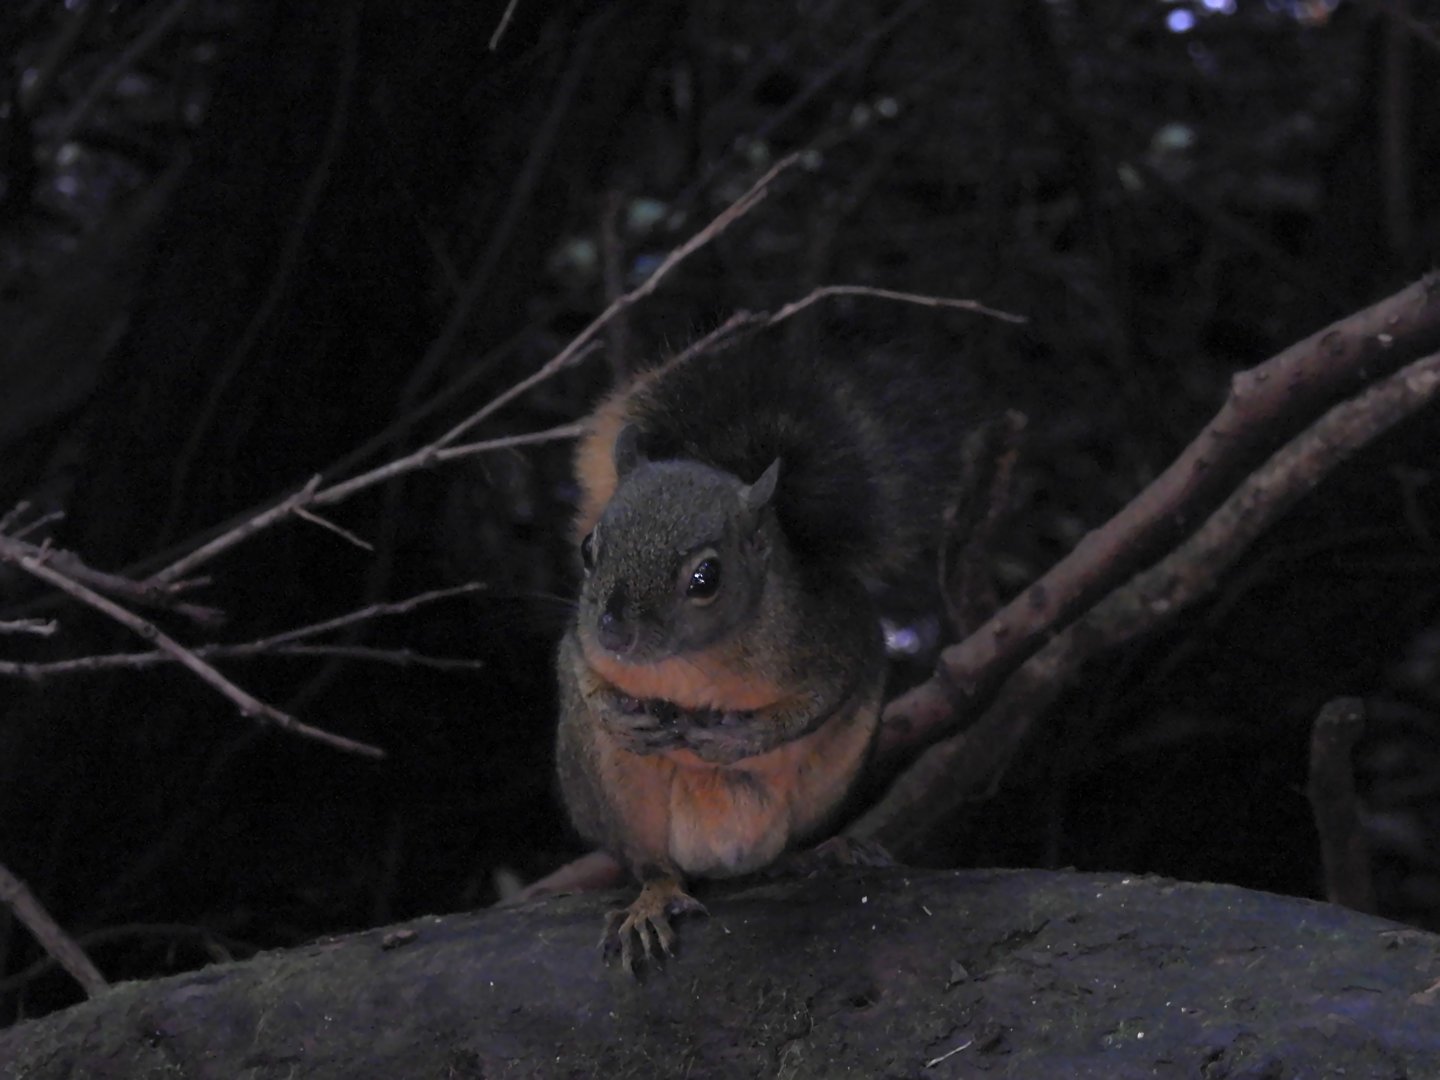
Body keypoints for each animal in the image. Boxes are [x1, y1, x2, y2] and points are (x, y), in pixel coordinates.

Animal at [555, 336, 969, 972]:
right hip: (615, 797)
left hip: (830, 778)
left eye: (706, 578)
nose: (615, 634)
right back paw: (654, 897)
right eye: (587, 549)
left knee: (788, 846)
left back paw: (822, 851)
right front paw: (614, 712)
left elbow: (819, 698)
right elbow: (575, 668)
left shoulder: (831, 639)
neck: (695, 659)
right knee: (652, 865)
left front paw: (739, 739)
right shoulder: (579, 639)